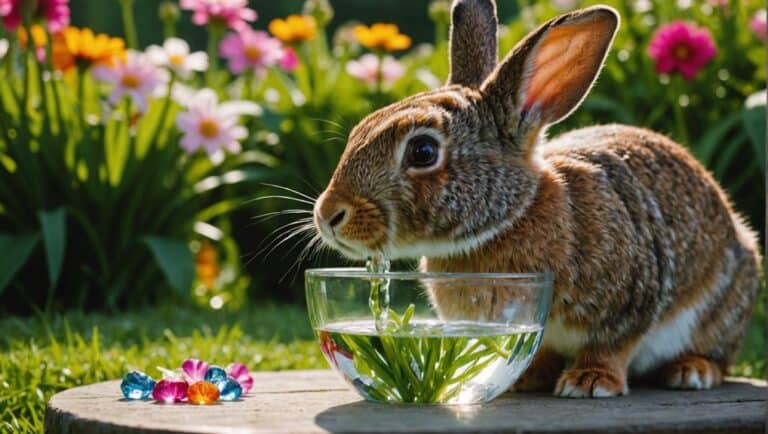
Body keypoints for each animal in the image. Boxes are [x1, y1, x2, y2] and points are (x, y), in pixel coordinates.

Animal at [312, 0, 761, 398]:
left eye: (423, 152)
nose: (328, 215)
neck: (511, 216)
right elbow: (539, 351)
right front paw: (526, 379)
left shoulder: (633, 300)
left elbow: (612, 346)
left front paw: (590, 381)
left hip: (724, 303)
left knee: (717, 353)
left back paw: (692, 371)